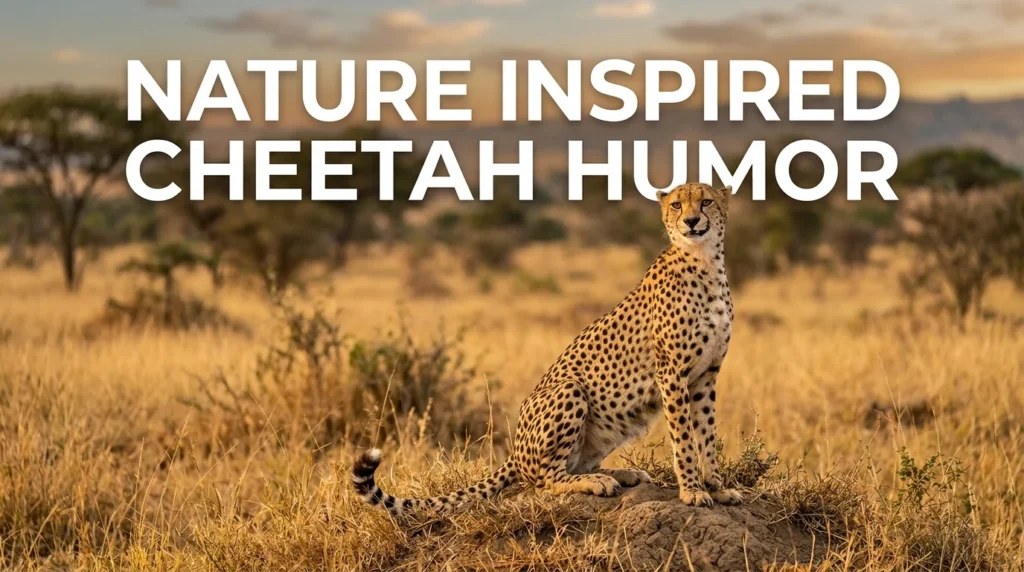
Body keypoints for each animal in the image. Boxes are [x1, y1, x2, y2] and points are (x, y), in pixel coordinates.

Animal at [353, 182, 742, 514]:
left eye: (706, 201)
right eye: (677, 204)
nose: (691, 221)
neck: (705, 263)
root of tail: (514, 450)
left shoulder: (705, 375)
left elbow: (706, 433)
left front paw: (717, 487)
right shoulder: (671, 373)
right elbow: (684, 438)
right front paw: (692, 490)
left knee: (572, 465)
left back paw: (621, 474)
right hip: (569, 390)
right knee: (544, 478)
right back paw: (597, 482)